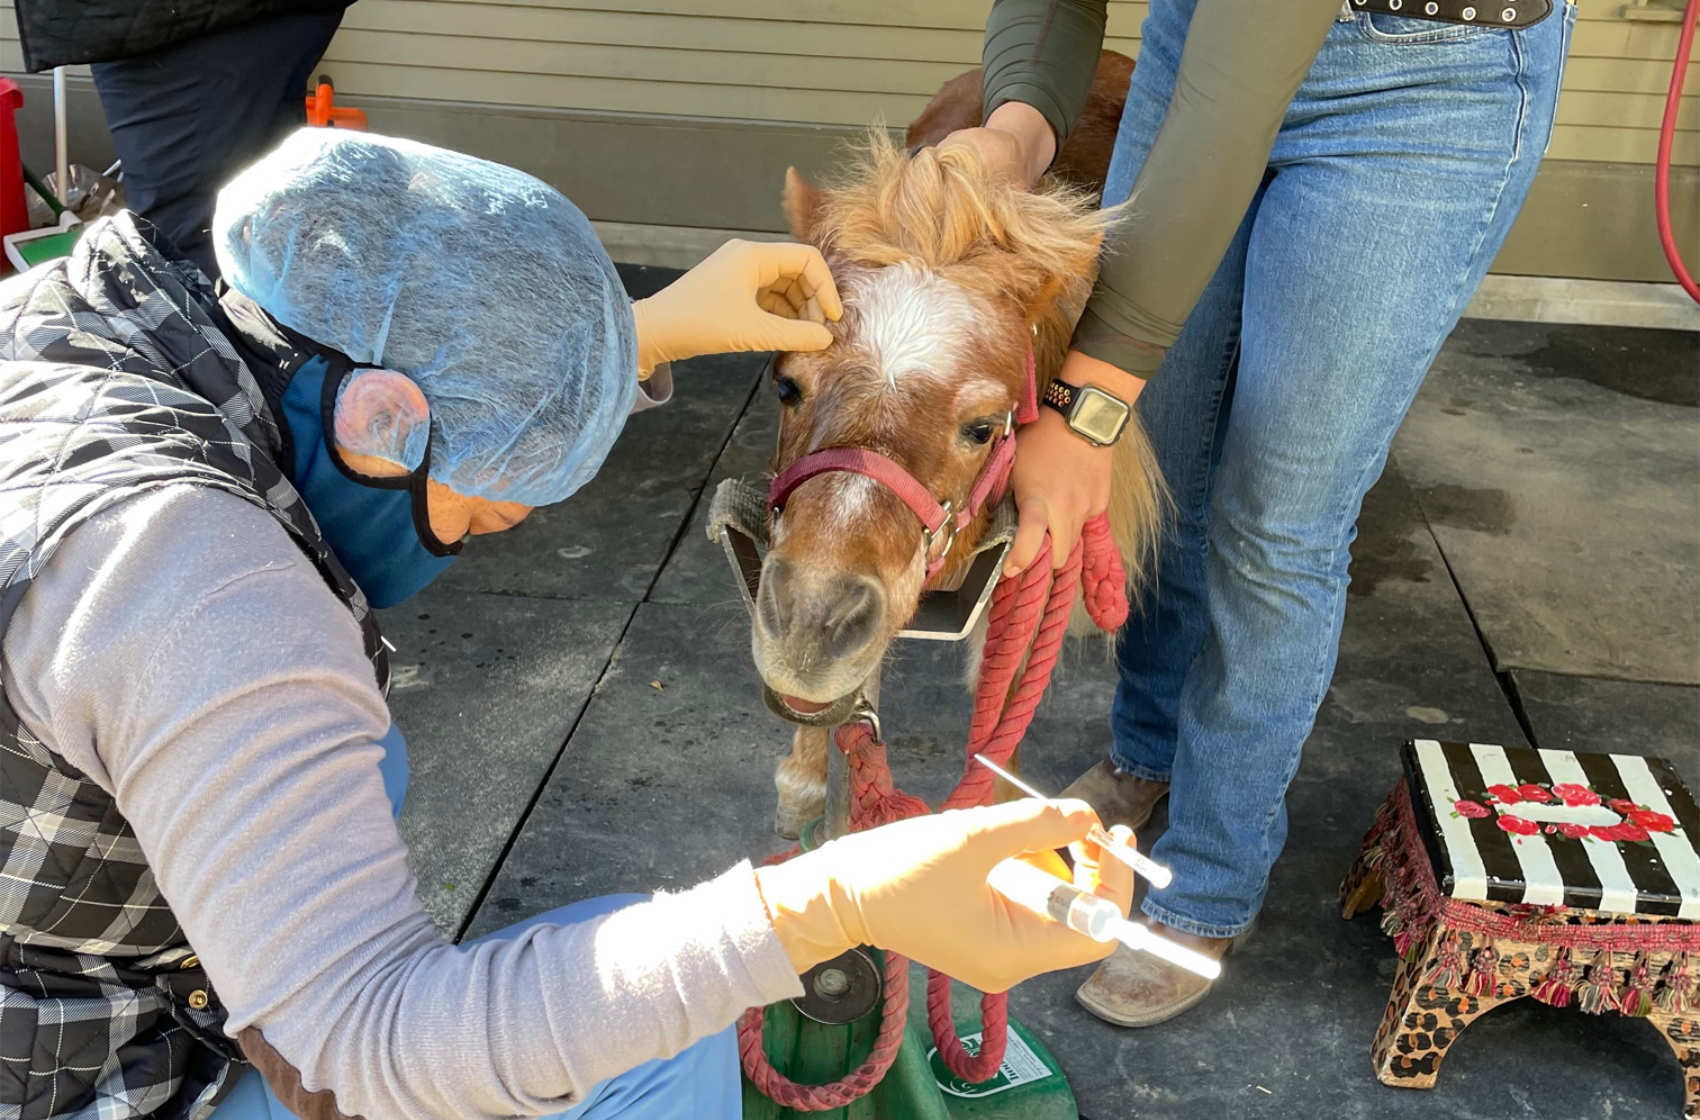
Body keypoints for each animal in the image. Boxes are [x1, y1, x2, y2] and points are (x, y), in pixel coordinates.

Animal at [753, 54, 1158, 838]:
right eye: (786, 385)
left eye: (983, 426)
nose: (809, 625)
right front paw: (805, 781)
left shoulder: (1034, 570)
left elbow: (999, 734)